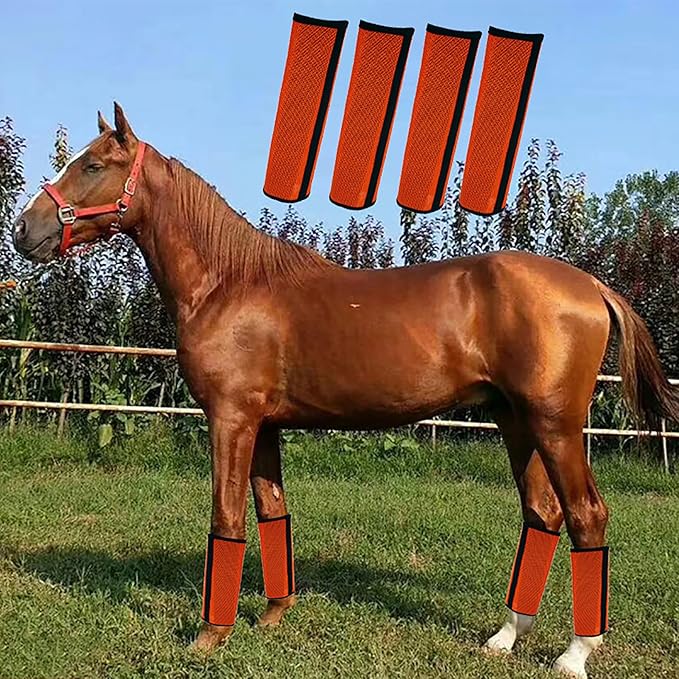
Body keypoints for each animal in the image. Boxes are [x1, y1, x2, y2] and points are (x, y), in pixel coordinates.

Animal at [13, 104, 679, 679]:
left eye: (93, 165)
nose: (25, 230)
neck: (229, 283)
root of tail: (592, 285)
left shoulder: (230, 420)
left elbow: (227, 516)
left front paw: (209, 637)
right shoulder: (264, 426)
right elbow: (271, 510)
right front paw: (272, 617)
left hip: (555, 424)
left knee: (586, 516)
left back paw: (575, 653)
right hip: (514, 422)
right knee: (542, 513)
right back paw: (505, 638)